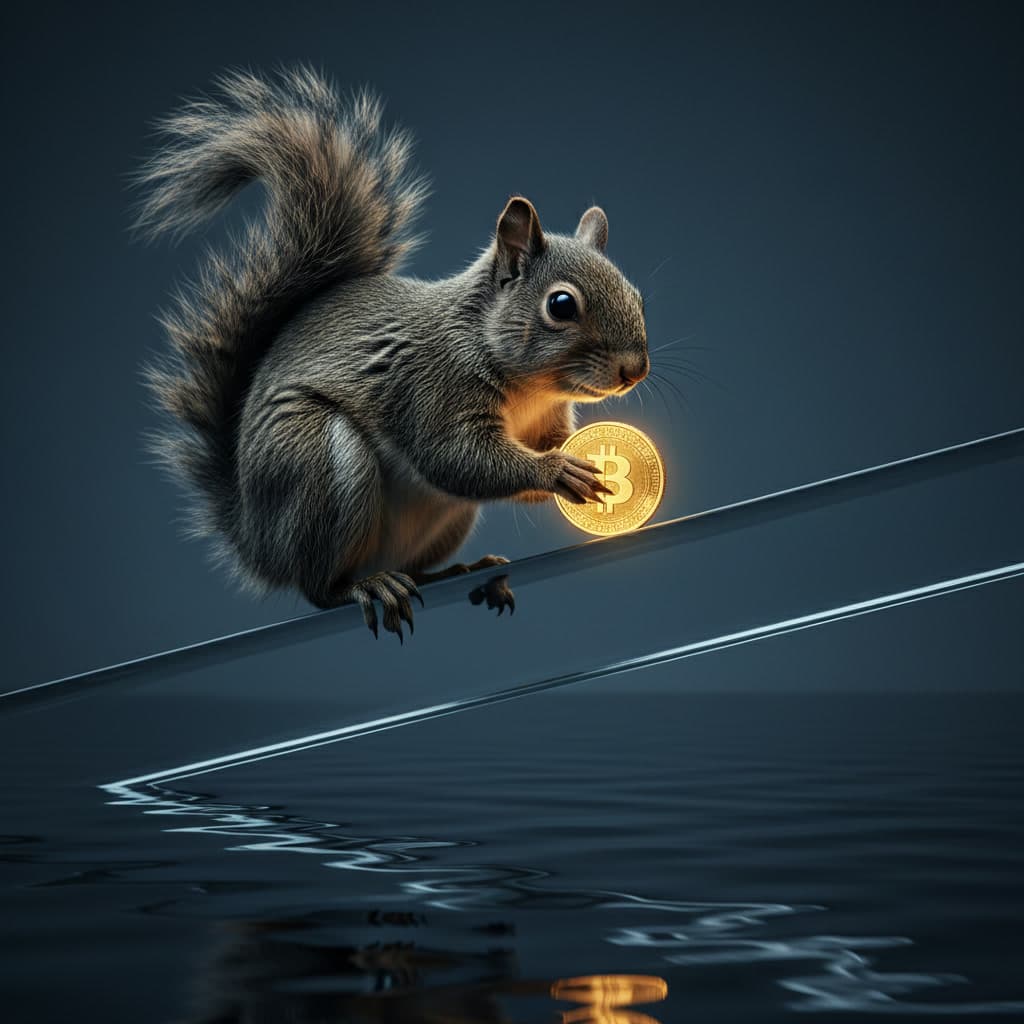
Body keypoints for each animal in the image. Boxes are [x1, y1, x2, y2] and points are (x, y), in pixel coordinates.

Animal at [137, 67, 649, 640]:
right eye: (561, 305)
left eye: (637, 297)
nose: (635, 370)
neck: (525, 385)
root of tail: (258, 541)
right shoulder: (430, 387)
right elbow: (459, 458)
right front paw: (557, 471)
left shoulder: (543, 420)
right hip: (318, 461)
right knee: (319, 588)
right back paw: (366, 586)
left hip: (444, 521)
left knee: (415, 569)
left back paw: (462, 572)